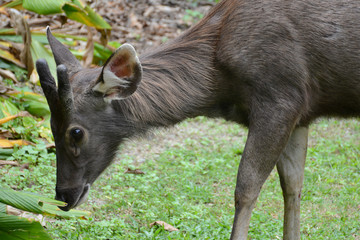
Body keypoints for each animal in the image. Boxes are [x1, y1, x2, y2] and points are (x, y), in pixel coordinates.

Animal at [36, 0, 360, 239]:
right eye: (51, 127)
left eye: (76, 133)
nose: (64, 196)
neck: (218, 82)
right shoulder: (301, 113)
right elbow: (293, 187)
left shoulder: (280, 98)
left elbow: (246, 189)